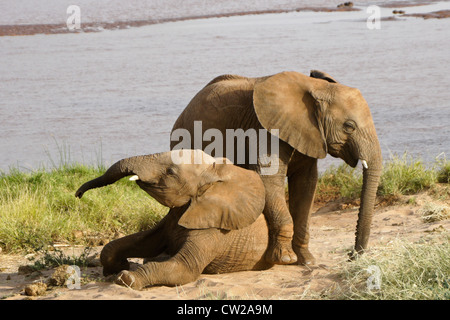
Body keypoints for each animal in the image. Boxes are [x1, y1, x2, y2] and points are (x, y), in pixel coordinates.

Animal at [75, 150, 272, 290]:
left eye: (170, 172)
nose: (78, 194)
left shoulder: (215, 229)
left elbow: (185, 268)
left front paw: (125, 277)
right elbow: (145, 242)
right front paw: (117, 268)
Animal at [171, 70, 382, 264]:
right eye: (349, 126)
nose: (351, 255)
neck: (316, 87)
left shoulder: (309, 134)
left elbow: (306, 184)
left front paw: (306, 260)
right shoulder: (264, 129)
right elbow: (269, 180)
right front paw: (286, 259)